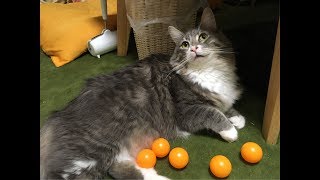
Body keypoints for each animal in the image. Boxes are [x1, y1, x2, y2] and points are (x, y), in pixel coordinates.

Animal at [40, 7, 245, 180]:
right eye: (185, 44)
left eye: (203, 37)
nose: (194, 48)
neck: (208, 72)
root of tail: (57, 117)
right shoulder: (187, 111)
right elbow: (212, 113)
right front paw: (230, 131)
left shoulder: (219, 97)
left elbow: (224, 106)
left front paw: (238, 118)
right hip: (88, 154)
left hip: (112, 152)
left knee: (121, 169)